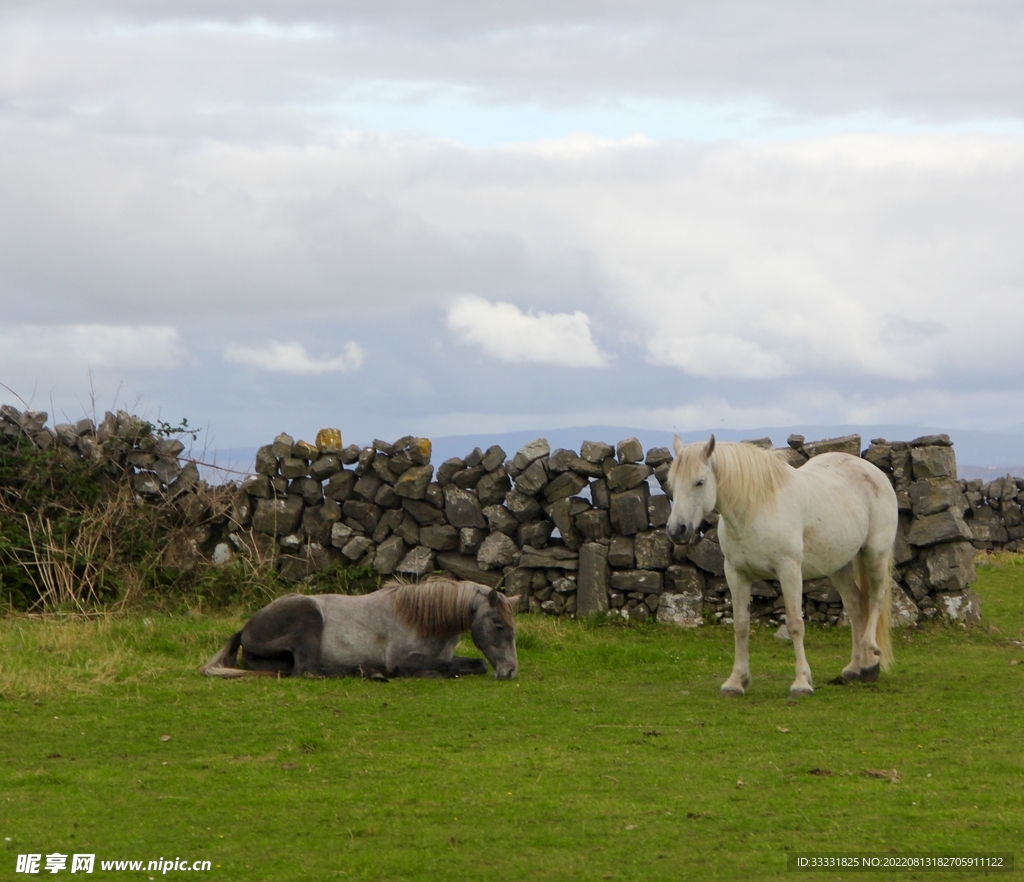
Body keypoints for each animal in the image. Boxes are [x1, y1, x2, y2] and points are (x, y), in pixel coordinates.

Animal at [202, 578, 518, 681]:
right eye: (498, 624)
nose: (511, 671)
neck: (421, 619)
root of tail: (246, 629)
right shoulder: (403, 659)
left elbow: (474, 664)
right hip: (309, 617)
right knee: (308, 670)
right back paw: (369, 672)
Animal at [665, 435, 897, 698]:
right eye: (672, 484)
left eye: (700, 482)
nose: (677, 530)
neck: (755, 509)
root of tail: (873, 471)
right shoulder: (736, 574)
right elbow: (741, 625)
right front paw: (736, 681)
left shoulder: (789, 571)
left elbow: (795, 624)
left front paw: (801, 683)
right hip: (839, 566)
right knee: (855, 604)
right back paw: (857, 668)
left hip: (875, 554)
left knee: (876, 598)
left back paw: (870, 656)